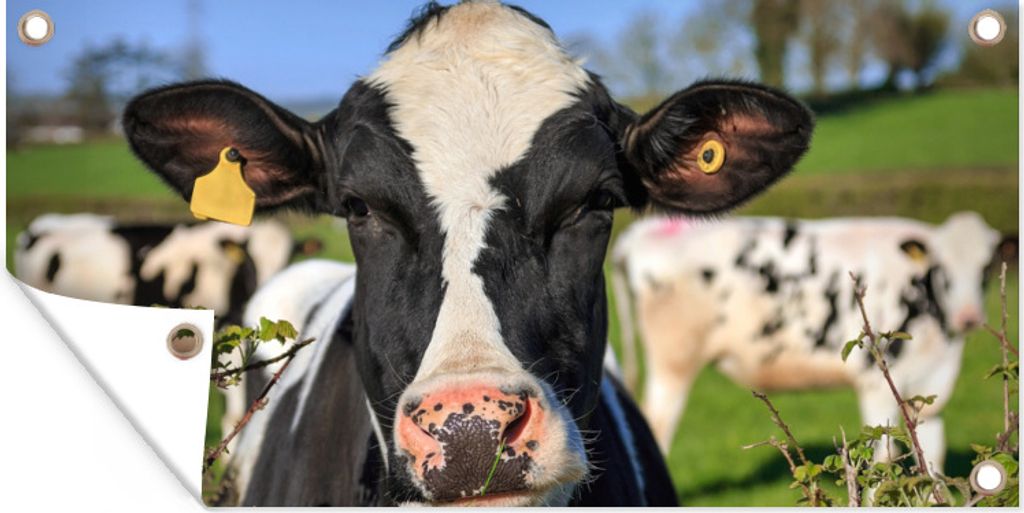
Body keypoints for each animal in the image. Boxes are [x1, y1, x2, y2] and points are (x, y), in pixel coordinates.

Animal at [612, 211, 1015, 473]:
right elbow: (883, 459)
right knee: (656, 427)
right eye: (942, 269)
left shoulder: (930, 386)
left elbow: (931, 457)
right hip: (674, 362)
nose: (968, 317)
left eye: (986, 268)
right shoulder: (876, 383)